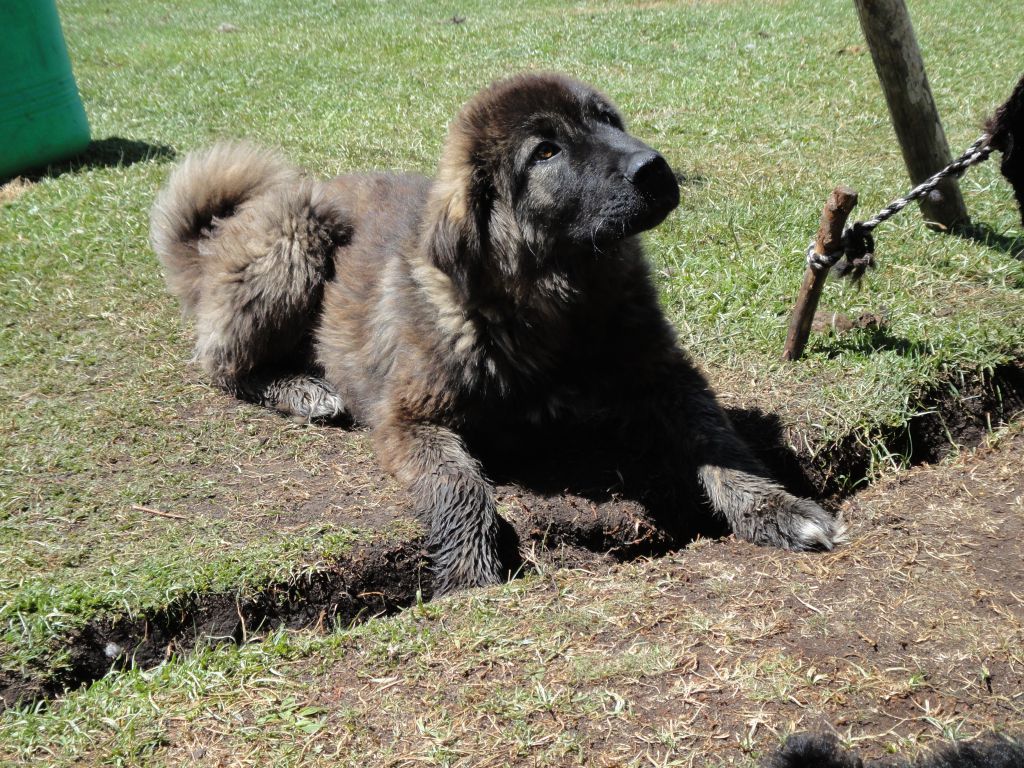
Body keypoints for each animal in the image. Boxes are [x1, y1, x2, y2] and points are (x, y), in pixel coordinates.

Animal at [149, 70, 839, 593]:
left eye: (608, 120)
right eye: (546, 151)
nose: (655, 169)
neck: (558, 307)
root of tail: (214, 242)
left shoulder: (666, 376)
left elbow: (720, 444)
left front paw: (778, 509)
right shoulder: (408, 419)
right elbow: (460, 485)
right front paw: (468, 568)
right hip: (299, 230)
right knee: (220, 363)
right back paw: (302, 389)